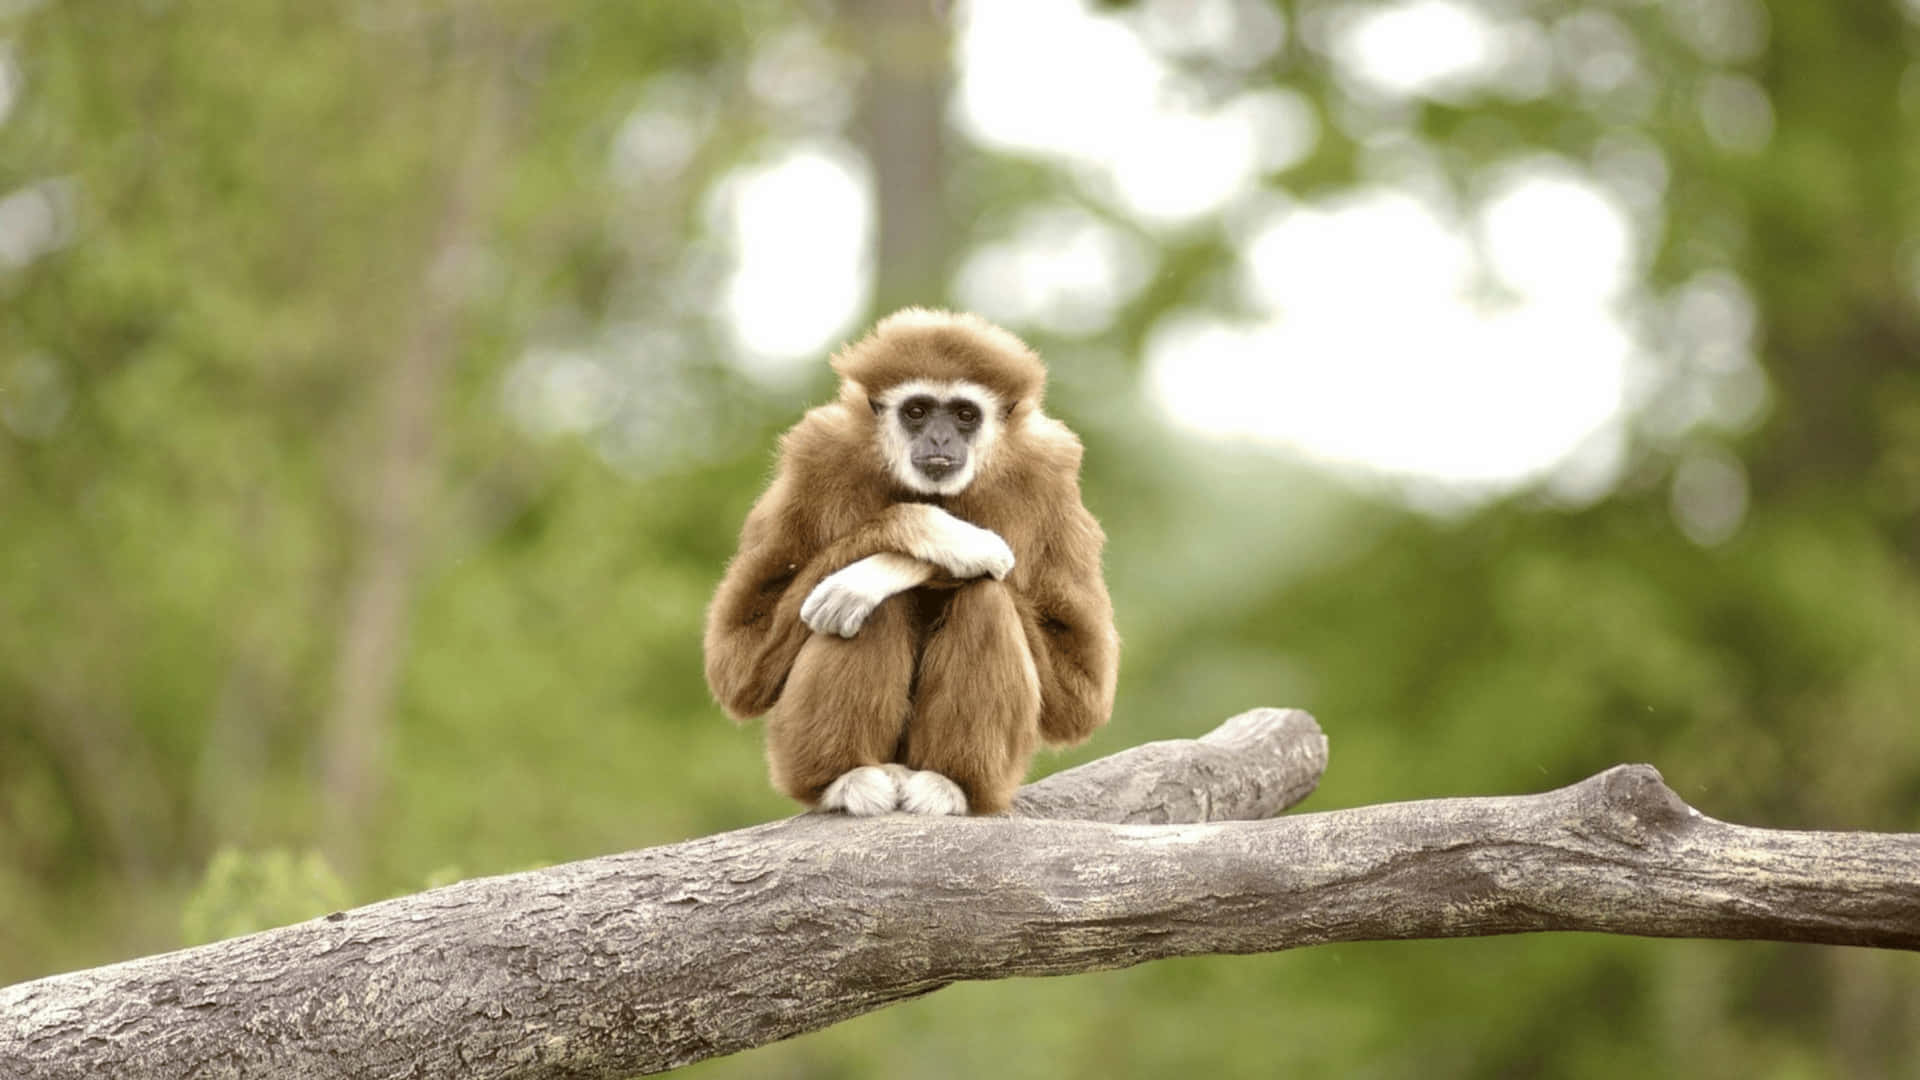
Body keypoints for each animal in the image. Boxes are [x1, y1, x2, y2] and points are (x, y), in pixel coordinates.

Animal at [704, 308, 1119, 816]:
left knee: (985, 597)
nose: (940, 436)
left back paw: (950, 783)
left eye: (964, 414)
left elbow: (1080, 696)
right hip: (789, 755)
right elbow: (738, 664)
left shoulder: (1050, 473)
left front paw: (893, 568)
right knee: (869, 610)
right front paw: (946, 537)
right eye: (917, 411)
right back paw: (846, 778)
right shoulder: (816, 454)